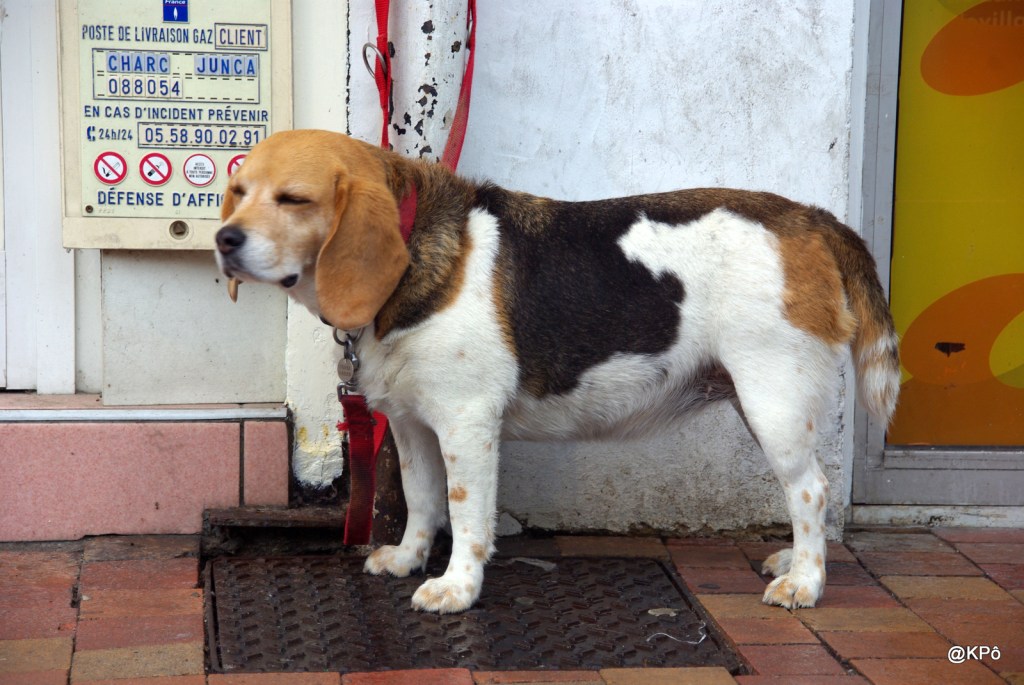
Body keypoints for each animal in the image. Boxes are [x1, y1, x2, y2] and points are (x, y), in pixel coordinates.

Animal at [216, 129, 900, 614]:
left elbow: (465, 512)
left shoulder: (467, 424)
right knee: (803, 492)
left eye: (294, 199)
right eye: (239, 192)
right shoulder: (411, 426)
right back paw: (792, 562)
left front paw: (456, 588)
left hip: (772, 399)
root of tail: (812, 217)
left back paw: (805, 582)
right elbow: (422, 498)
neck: (414, 244)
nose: (223, 239)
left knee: (810, 490)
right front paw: (409, 559)